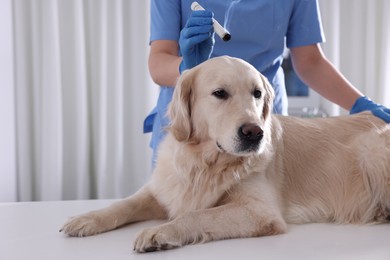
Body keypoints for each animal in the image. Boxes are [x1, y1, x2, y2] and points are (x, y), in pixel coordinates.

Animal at [61, 55, 390, 253]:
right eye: (220, 93)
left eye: (257, 94)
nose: (254, 133)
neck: (206, 163)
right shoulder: (163, 189)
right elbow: (123, 204)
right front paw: (86, 218)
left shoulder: (260, 211)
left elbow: (197, 213)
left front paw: (160, 232)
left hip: (371, 150)